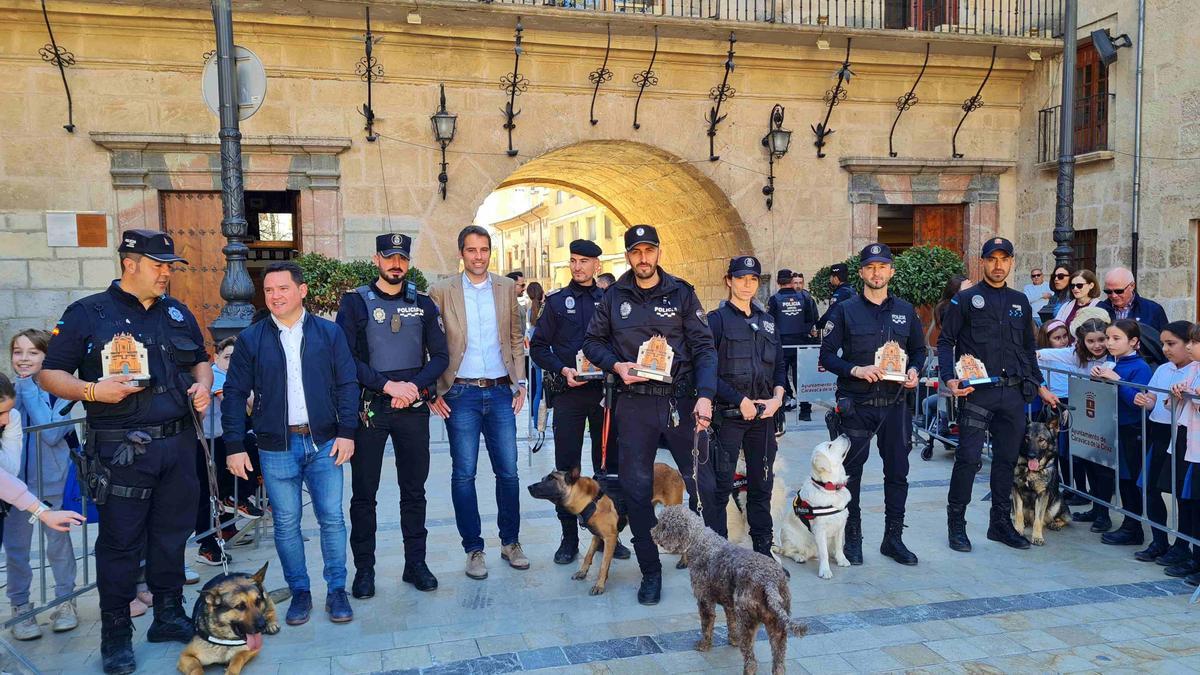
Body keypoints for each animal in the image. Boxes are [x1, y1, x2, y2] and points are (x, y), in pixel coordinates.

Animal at [528, 461, 686, 593]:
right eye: (543, 478)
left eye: (551, 479)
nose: (529, 487)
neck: (591, 500)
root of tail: (673, 469)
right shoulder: (597, 535)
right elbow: (588, 555)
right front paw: (583, 572)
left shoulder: (610, 538)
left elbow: (603, 564)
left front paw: (599, 585)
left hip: (672, 510)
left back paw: (683, 561)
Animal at [648, 504, 806, 672]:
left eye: (663, 525)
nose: (651, 532)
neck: (700, 541)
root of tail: (769, 581)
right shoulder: (729, 603)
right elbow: (731, 623)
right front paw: (733, 640)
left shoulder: (704, 599)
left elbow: (706, 625)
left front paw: (704, 645)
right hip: (778, 627)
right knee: (779, 665)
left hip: (748, 622)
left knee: (751, 662)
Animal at [1012, 410, 1070, 547]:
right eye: (1027, 438)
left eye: (1041, 440)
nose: (1031, 455)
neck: (1031, 471)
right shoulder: (1016, 490)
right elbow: (1019, 513)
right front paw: (1018, 529)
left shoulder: (1042, 495)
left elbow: (1038, 519)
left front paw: (1037, 537)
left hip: (1057, 503)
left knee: (1064, 519)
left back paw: (1055, 523)